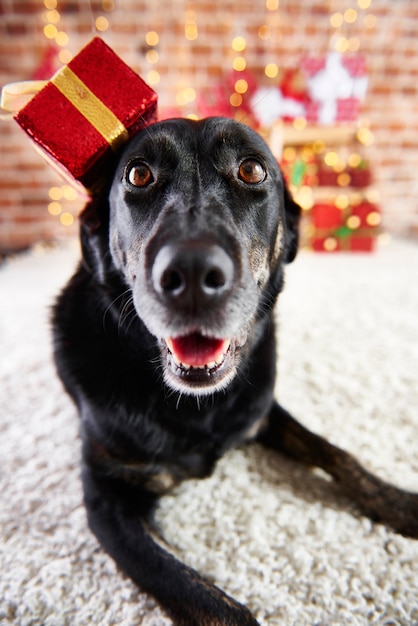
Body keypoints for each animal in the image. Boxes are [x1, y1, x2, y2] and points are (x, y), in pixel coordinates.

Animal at [52, 118, 418, 624]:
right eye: (138, 175)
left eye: (251, 169)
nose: (191, 273)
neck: (197, 407)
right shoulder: (107, 498)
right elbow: (217, 605)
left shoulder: (261, 410)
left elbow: (337, 454)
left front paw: (401, 503)